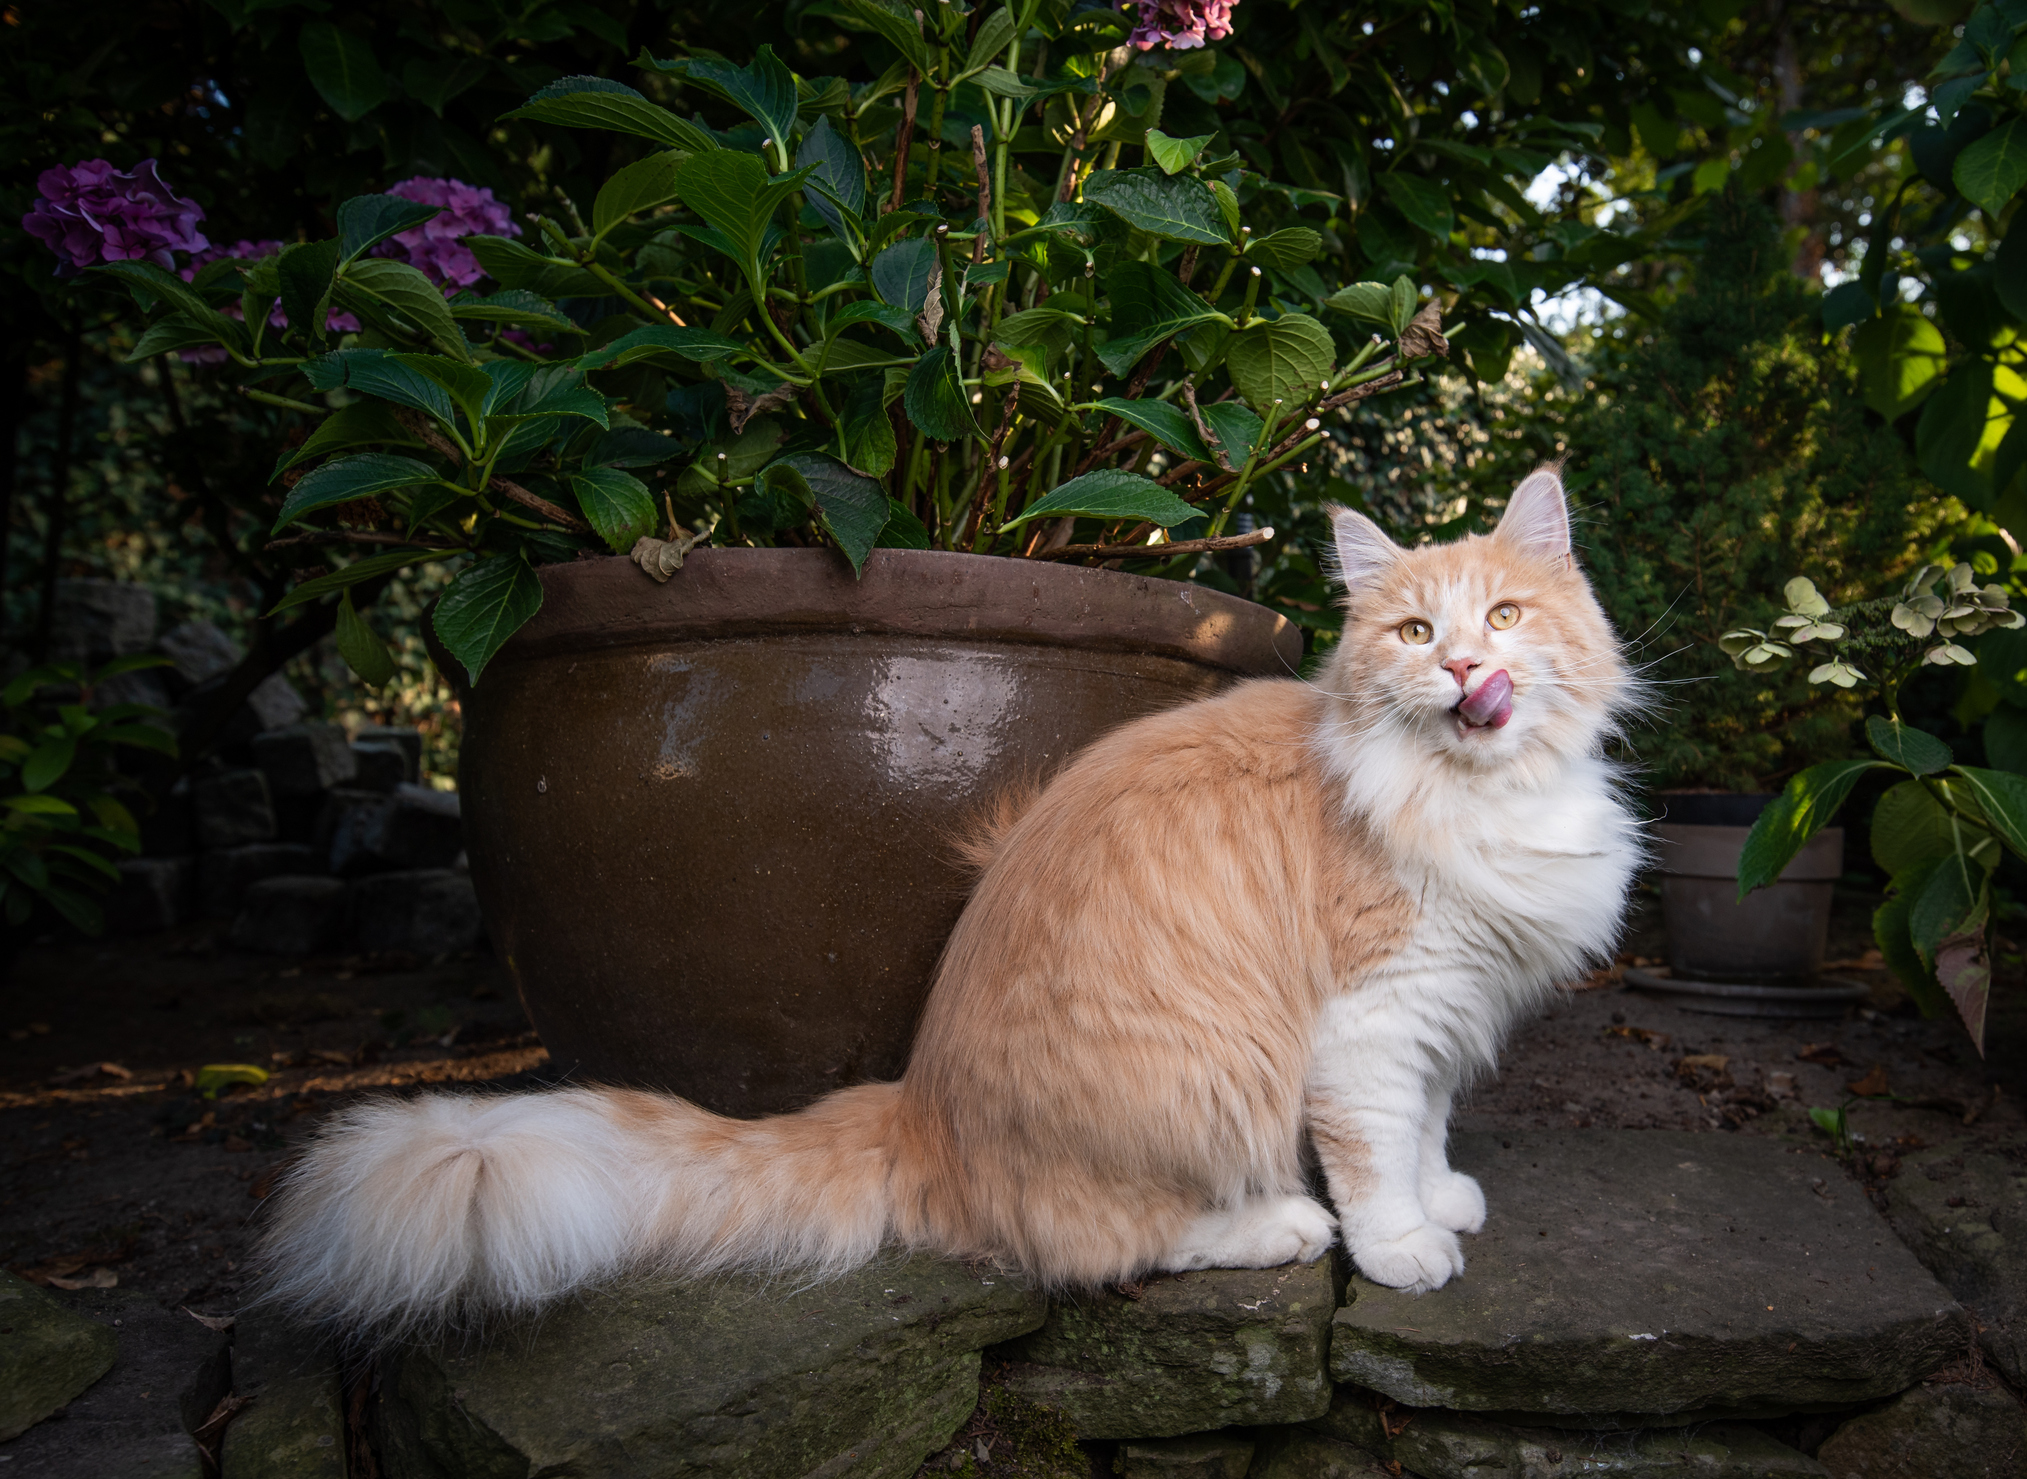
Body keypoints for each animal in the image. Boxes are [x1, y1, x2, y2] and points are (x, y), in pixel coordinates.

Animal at [261, 465, 1637, 1329]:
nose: (1460, 668)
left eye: (1501, 616)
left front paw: (1443, 1198)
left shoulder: (1444, 1004)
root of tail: (916, 1103)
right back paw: (1276, 1227)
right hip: (1205, 1079)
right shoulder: (1372, 1016)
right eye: (1411, 635)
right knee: (1091, 1243)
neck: (1478, 792)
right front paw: (1402, 1247)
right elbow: (1373, 1150)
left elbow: (1428, 1125)